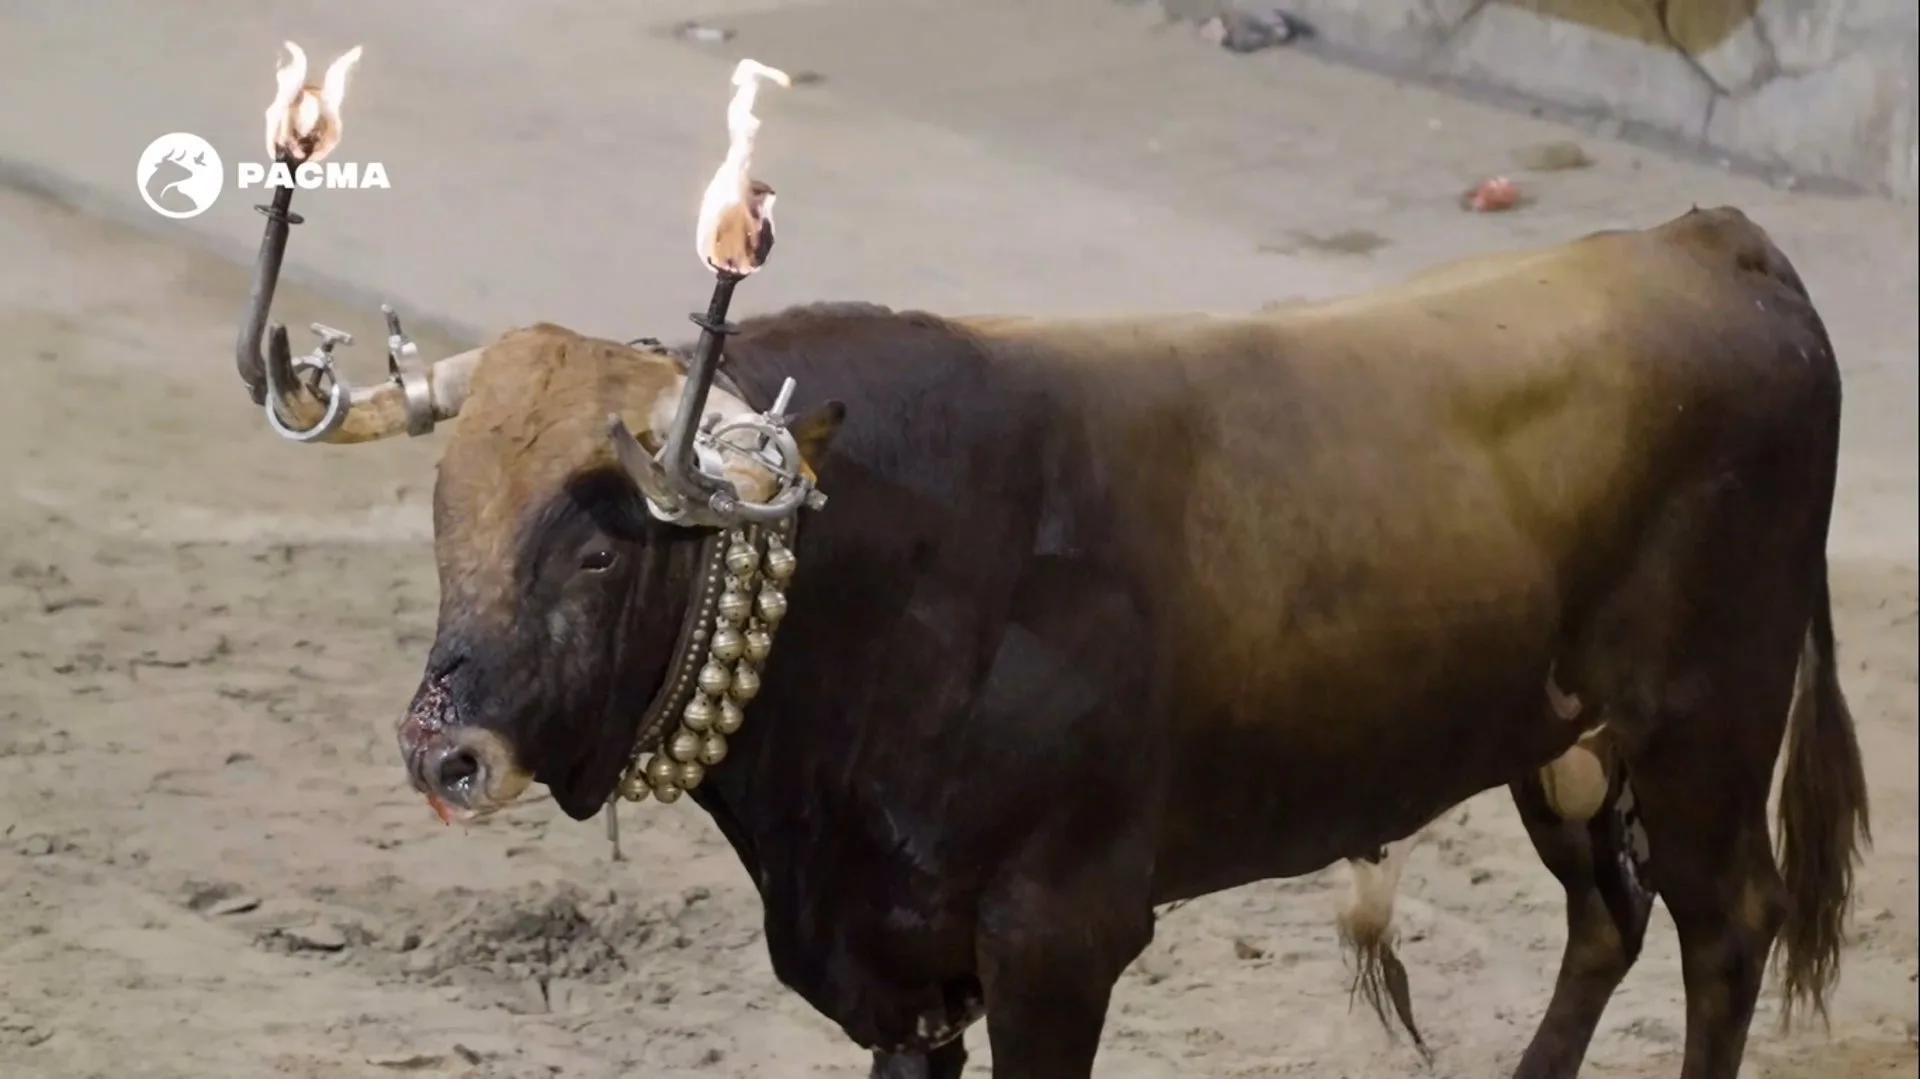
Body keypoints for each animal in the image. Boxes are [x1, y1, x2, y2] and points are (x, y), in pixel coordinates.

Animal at [232, 46, 1866, 1075]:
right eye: (445, 509)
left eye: (590, 546)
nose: (442, 751)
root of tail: (1713, 240)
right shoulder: (901, 973)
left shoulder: (1059, 938)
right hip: (1564, 742)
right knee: (1609, 913)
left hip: (1710, 721)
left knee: (1727, 925)